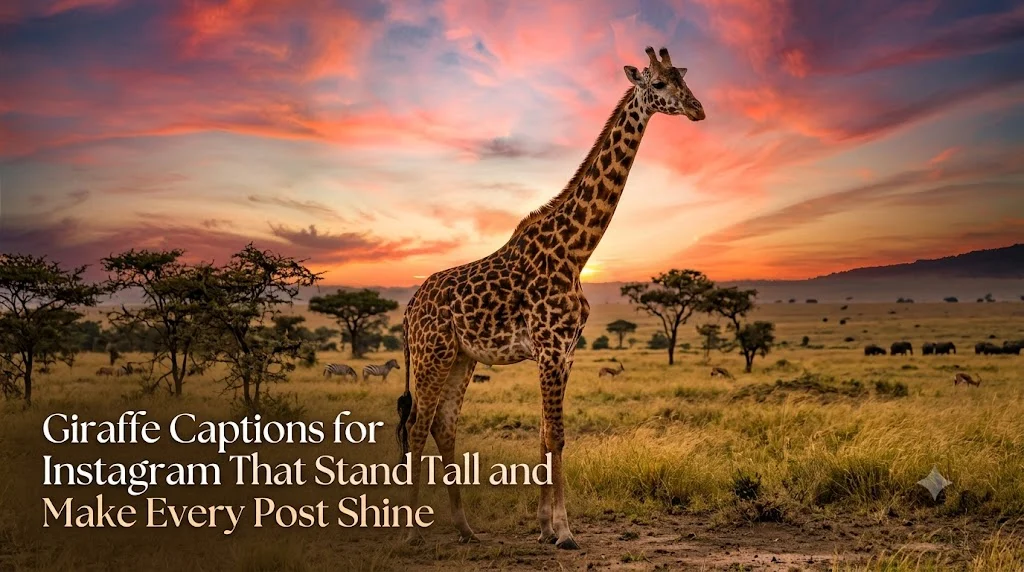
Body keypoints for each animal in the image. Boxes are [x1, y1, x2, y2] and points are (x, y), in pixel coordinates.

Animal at [396, 46, 705, 550]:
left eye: (682, 77)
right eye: (658, 84)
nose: (698, 109)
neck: (576, 252)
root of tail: (407, 311)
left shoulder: (566, 351)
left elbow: (544, 433)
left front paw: (544, 525)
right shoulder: (551, 347)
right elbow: (556, 435)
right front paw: (564, 531)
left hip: (463, 357)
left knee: (443, 424)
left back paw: (465, 528)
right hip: (432, 354)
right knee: (418, 425)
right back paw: (410, 531)